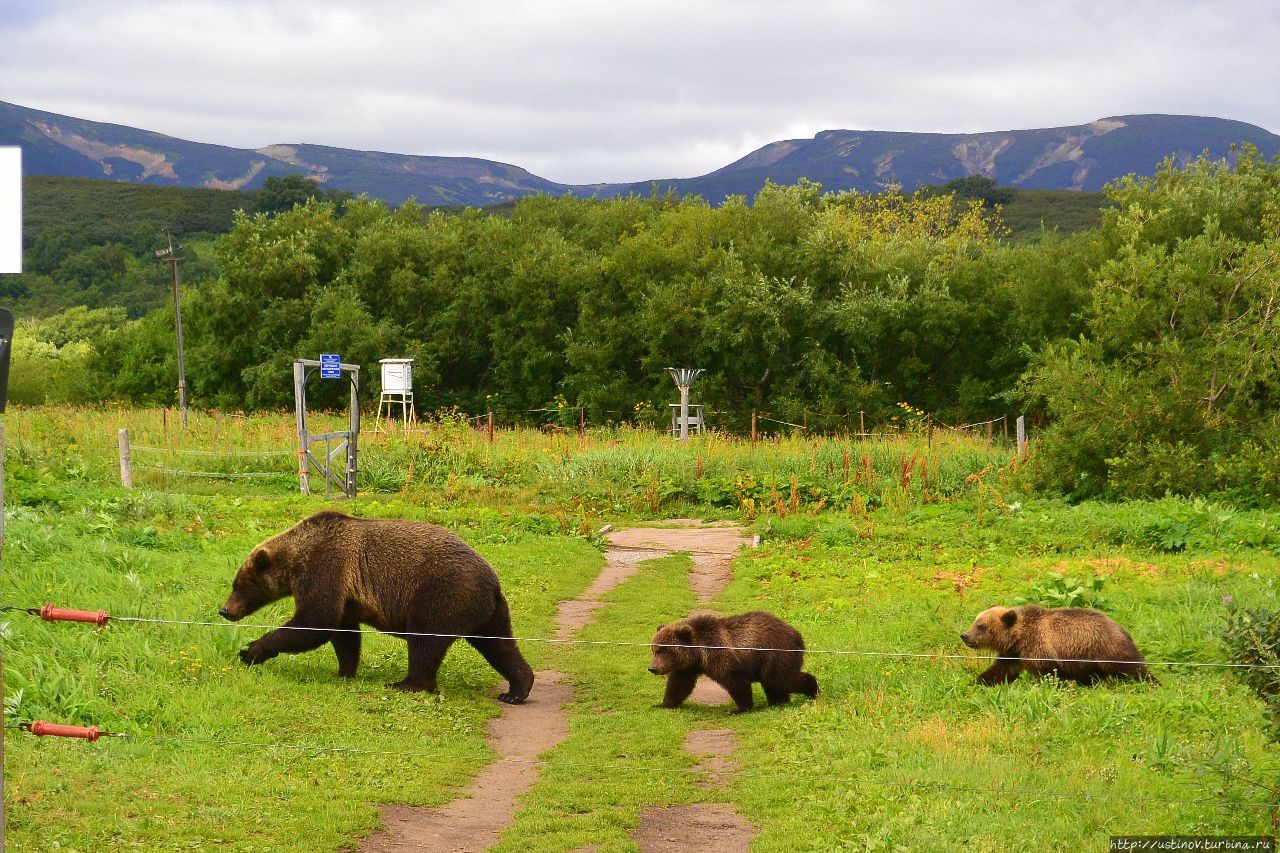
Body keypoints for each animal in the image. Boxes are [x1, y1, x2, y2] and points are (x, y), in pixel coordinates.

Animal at [220, 507, 535, 701]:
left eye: (238, 585)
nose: (225, 610)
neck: (297, 560)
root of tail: (492, 582)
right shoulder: (345, 595)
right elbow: (344, 633)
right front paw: (344, 670)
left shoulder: (326, 569)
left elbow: (314, 622)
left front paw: (252, 650)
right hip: (488, 612)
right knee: (499, 644)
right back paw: (517, 688)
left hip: (443, 593)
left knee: (425, 640)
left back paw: (406, 683)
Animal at [650, 607, 819, 706]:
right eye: (654, 650)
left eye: (663, 651)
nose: (652, 668)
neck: (699, 652)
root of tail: (796, 635)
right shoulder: (688, 667)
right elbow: (679, 684)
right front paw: (664, 704)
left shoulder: (720, 655)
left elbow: (735, 681)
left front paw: (742, 707)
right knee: (773, 683)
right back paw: (778, 702)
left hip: (775, 653)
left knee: (780, 678)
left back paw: (812, 690)